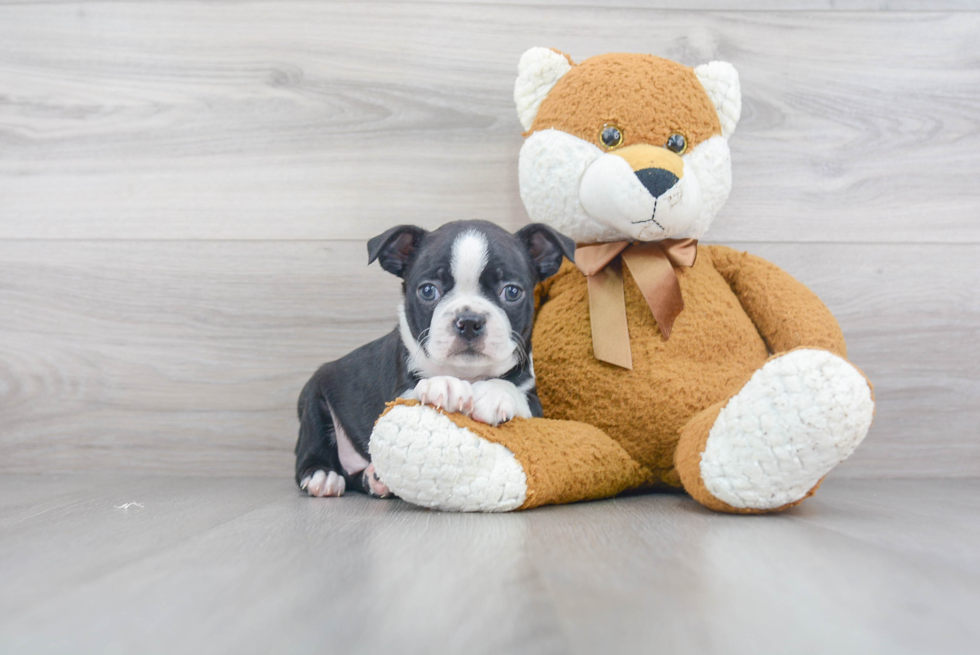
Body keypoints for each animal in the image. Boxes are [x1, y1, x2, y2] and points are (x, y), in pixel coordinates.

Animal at [290, 220, 576, 498]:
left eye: (512, 292)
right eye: (428, 291)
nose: (469, 320)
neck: (468, 373)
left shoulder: (534, 404)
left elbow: (511, 389)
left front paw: (493, 393)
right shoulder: (398, 392)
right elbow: (418, 388)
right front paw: (445, 385)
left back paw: (374, 480)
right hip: (313, 400)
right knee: (311, 450)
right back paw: (322, 476)